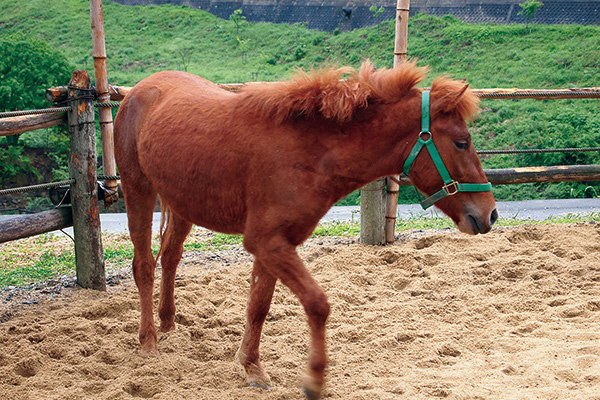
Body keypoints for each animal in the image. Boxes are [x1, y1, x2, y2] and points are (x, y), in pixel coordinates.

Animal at [112, 60, 496, 400]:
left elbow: (258, 306)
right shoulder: (268, 243)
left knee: (171, 257)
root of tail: (141, 90)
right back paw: (149, 342)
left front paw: (252, 367)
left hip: (182, 204)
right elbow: (317, 303)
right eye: (462, 142)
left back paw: (168, 324)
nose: (489, 214)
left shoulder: (273, 245)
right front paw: (314, 380)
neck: (309, 151)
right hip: (138, 191)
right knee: (144, 266)